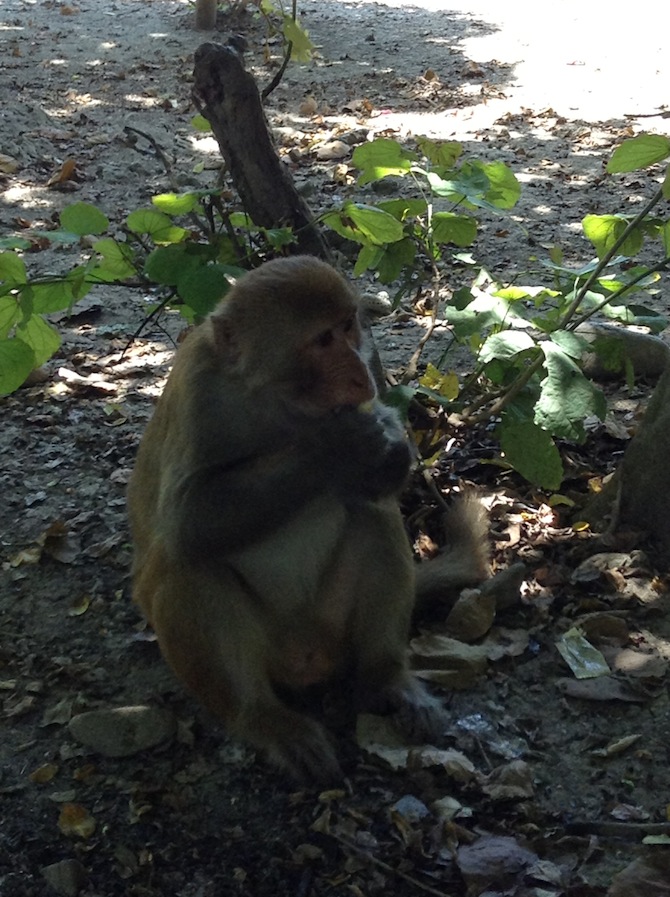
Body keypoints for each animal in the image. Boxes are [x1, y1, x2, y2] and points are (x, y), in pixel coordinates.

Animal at [130, 256, 488, 780]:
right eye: (322, 340)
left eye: (348, 326)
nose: (360, 371)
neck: (278, 399)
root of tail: (308, 657)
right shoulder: (199, 391)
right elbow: (185, 520)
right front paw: (337, 446)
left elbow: (375, 489)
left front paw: (386, 448)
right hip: (272, 652)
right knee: (186, 565)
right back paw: (264, 719)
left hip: (332, 626)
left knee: (374, 516)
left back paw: (388, 677)